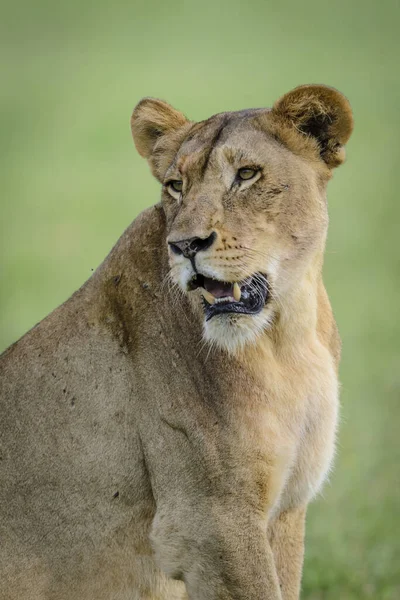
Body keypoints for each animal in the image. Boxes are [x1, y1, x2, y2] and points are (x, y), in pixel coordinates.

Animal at [0, 85, 352, 600]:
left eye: (246, 175)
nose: (185, 245)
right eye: (175, 186)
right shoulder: (211, 521)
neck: (287, 335)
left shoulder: (286, 509)